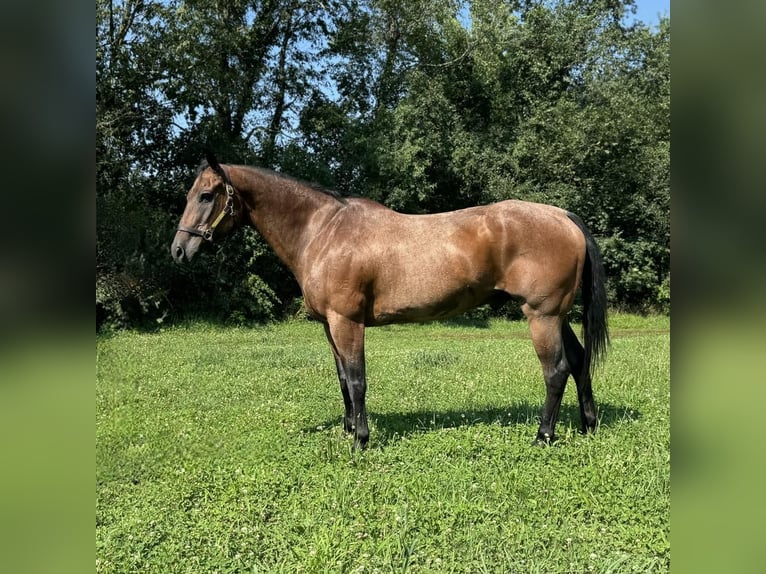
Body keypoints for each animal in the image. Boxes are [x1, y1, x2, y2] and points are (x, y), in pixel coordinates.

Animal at [171, 155, 608, 452]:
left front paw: (360, 440)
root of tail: (563, 216)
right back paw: (587, 425)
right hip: (557, 316)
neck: (324, 232)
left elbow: (358, 379)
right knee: (579, 360)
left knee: (556, 371)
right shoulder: (330, 325)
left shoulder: (347, 321)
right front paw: (348, 428)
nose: (178, 250)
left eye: (207, 195)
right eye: (191, 194)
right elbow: (342, 380)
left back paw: (543, 435)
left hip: (542, 316)